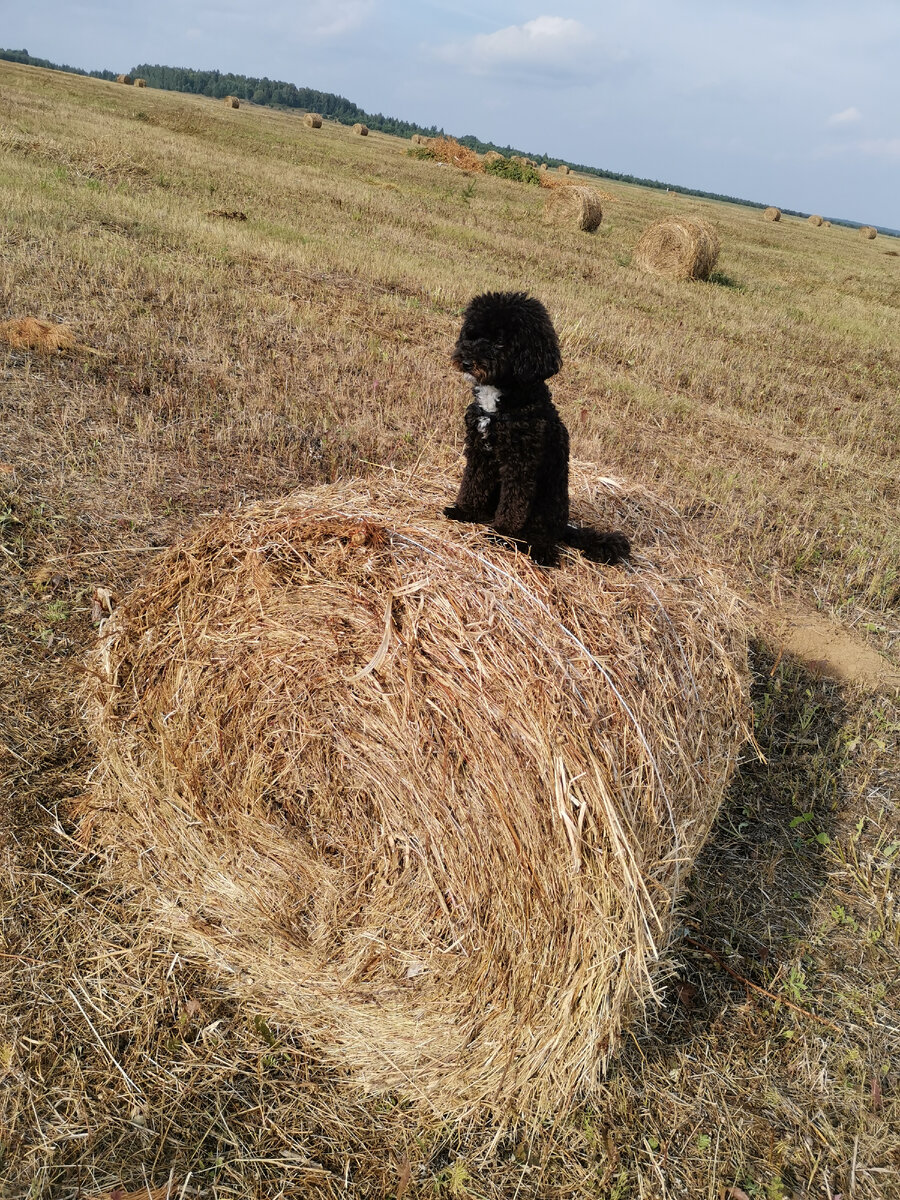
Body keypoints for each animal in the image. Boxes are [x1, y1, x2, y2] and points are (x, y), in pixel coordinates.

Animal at [446, 292, 633, 568]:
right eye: (473, 334)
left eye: (500, 342)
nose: (467, 361)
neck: (500, 398)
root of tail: (564, 528)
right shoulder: (479, 450)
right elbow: (473, 483)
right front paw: (465, 511)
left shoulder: (521, 463)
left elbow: (514, 505)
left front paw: (502, 534)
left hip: (545, 507)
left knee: (544, 540)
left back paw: (539, 551)